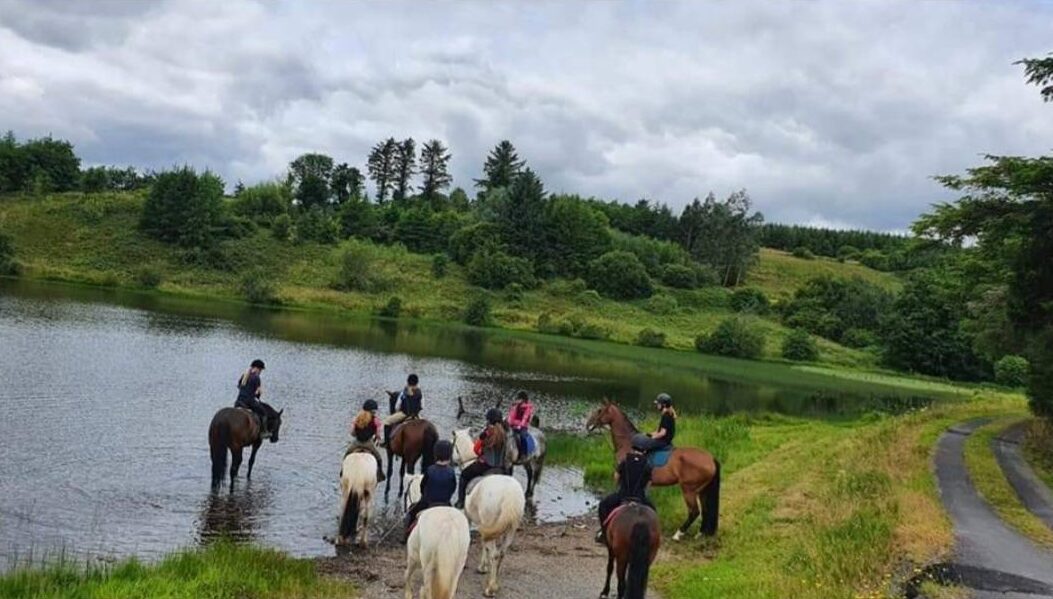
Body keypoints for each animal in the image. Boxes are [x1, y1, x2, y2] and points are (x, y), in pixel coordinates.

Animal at [585, 400, 724, 538]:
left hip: (688, 490)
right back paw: (700, 533)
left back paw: (678, 534)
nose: (588, 424)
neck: (627, 442)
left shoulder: (621, 478)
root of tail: (711, 458)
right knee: (705, 510)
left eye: (599, 410)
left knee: (694, 511)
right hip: (702, 490)